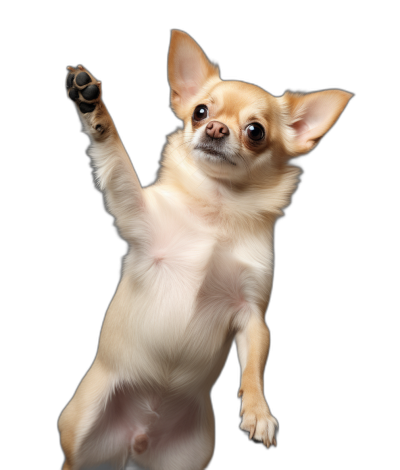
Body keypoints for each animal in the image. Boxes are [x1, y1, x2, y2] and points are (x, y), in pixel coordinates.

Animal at [57, 30, 352, 470]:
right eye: (199, 111)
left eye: (255, 131)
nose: (213, 127)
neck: (218, 206)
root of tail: (135, 440)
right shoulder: (135, 213)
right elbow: (118, 162)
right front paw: (92, 105)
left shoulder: (250, 313)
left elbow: (254, 366)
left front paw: (259, 411)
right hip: (79, 437)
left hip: (186, 458)